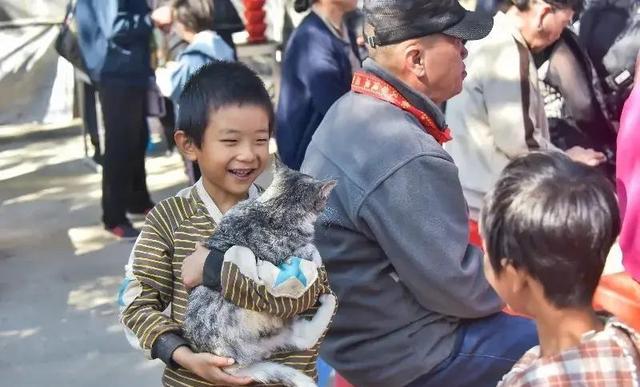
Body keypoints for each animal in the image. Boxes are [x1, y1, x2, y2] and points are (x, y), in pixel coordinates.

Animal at [182, 164, 338, 387]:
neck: (274, 207)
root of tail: (234, 365)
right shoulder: (277, 267)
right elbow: (308, 250)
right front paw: (314, 257)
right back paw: (328, 298)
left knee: (303, 337)